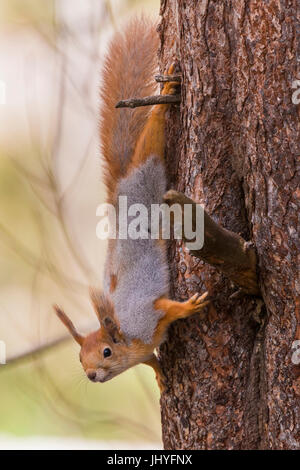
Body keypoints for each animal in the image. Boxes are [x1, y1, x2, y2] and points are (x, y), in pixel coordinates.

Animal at [53, 17, 209, 392]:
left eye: (106, 352)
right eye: (80, 358)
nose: (92, 376)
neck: (126, 336)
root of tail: (121, 194)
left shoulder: (145, 314)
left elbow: (167, 308)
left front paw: (186, 307)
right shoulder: (142, 345)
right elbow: (151, 358)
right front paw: (160, 375)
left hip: (148, 173)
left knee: (150, 139)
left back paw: (163, 102)